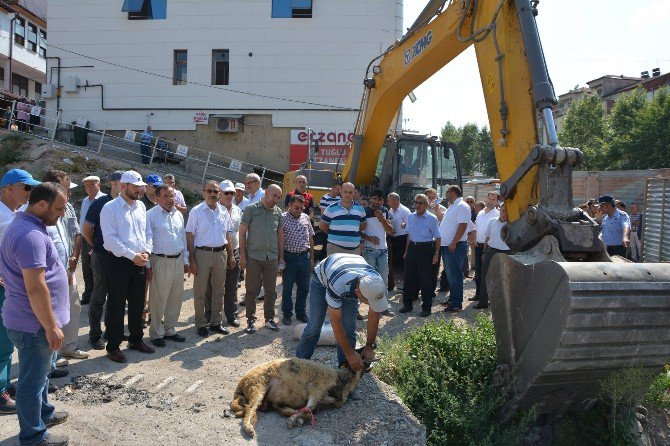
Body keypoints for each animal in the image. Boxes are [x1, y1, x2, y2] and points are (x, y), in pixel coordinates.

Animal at [230, 358, 368, 438]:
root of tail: (241, 384)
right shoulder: (317, 388)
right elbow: (310, 406)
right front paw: (293, 421)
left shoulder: (325, 396)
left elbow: (318, 405)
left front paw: (297, 419)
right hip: (257, 387)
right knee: (250, 408)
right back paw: (249, 428)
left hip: (271, 400)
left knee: (282, 410)